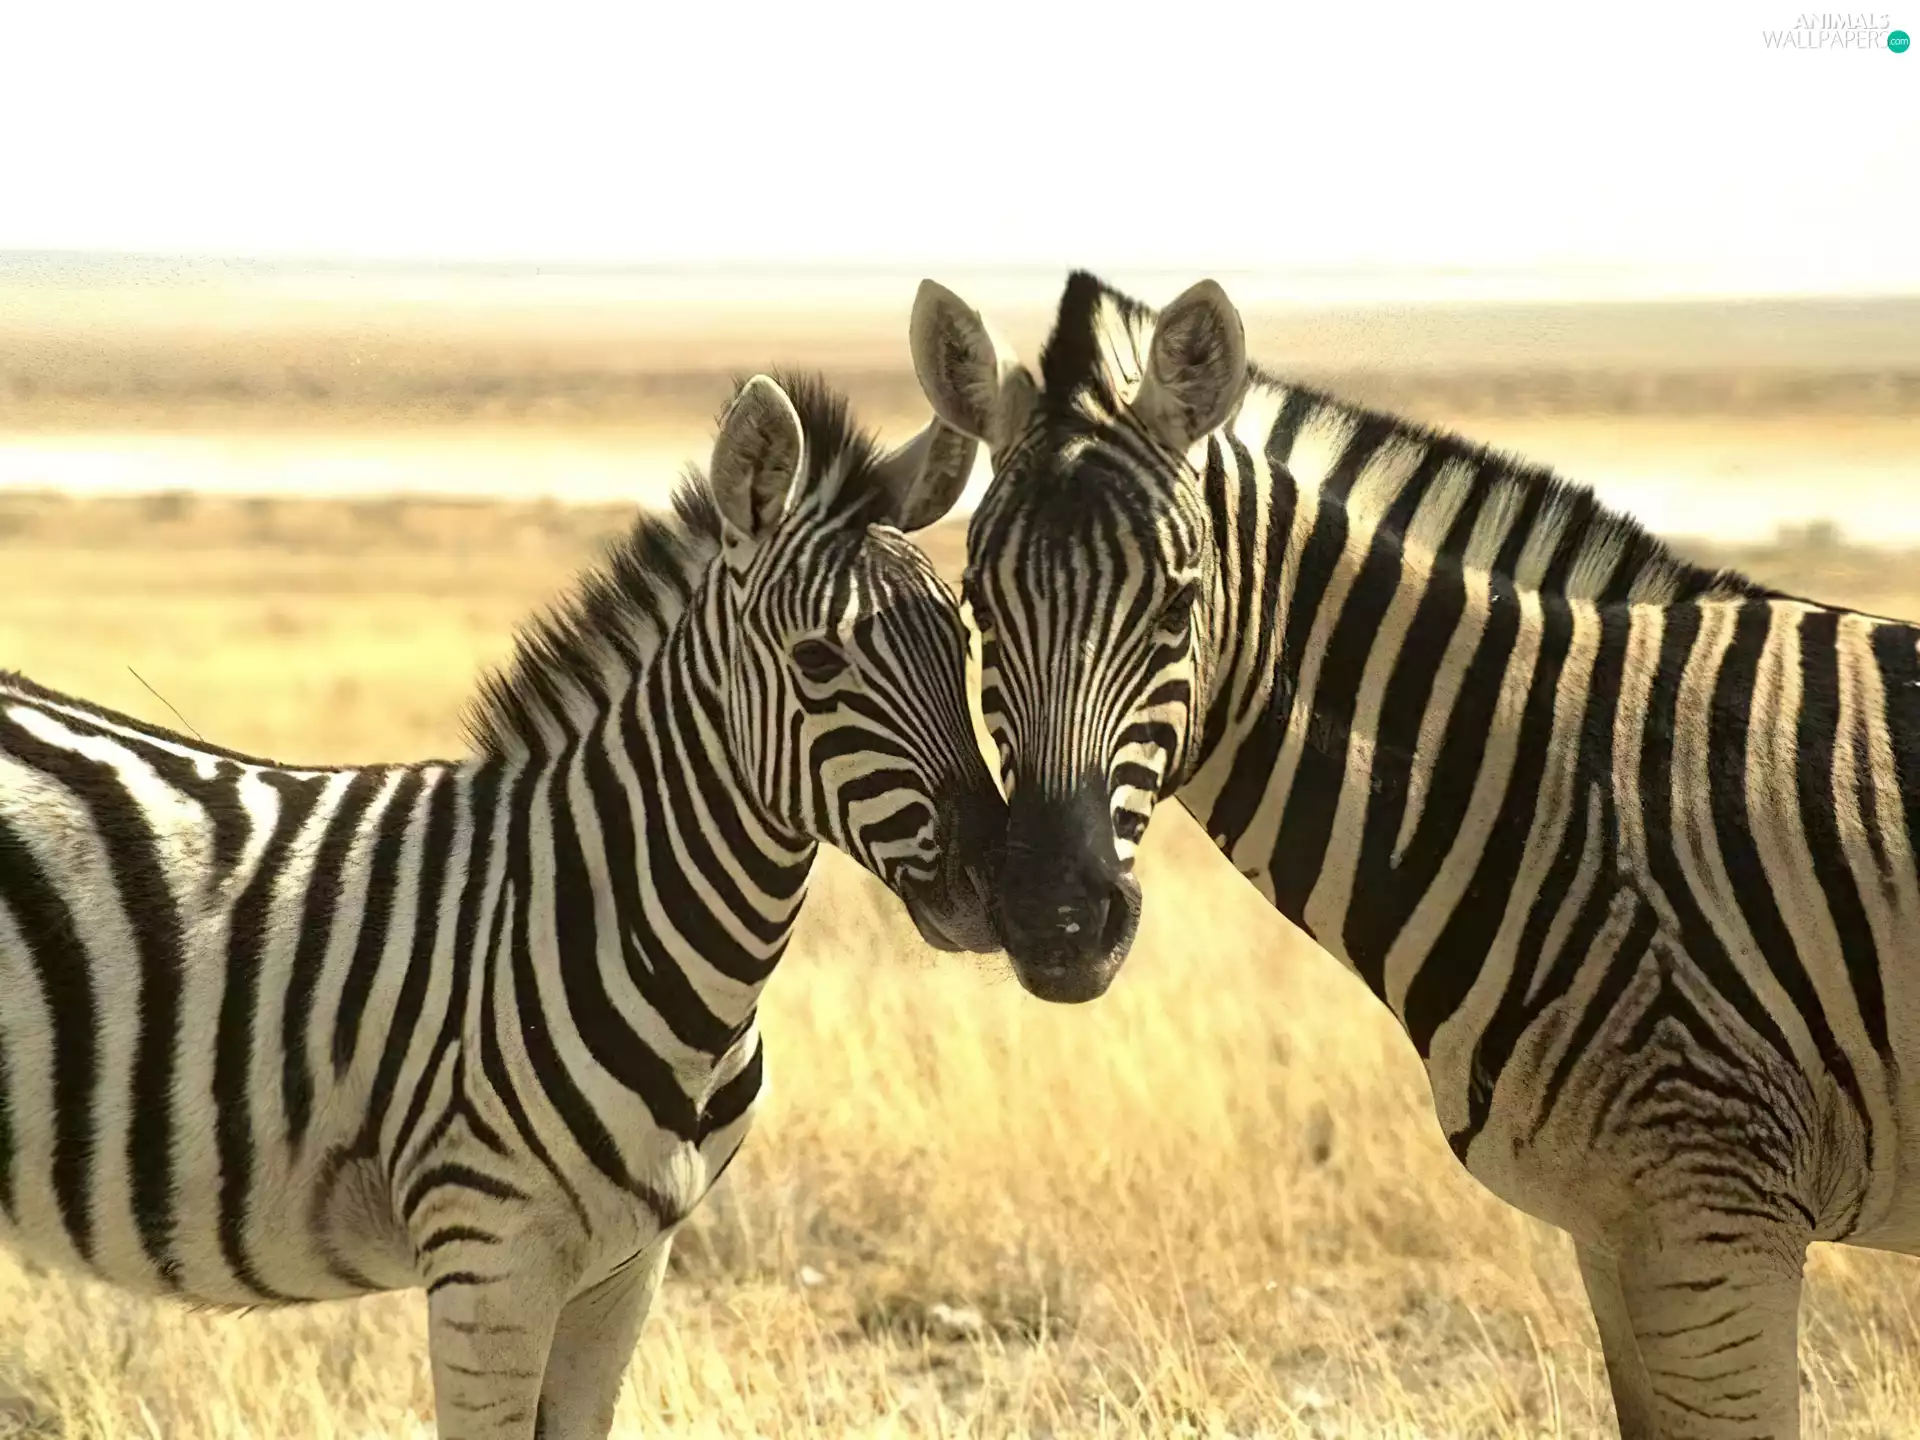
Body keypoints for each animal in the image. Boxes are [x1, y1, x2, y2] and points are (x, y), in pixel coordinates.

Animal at [909, 269, 1920, 1438]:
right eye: (977, 608)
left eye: (1176, 601)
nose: (1054, 919)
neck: (1552, 789)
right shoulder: (1617, 1229)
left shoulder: (1715, 1222)